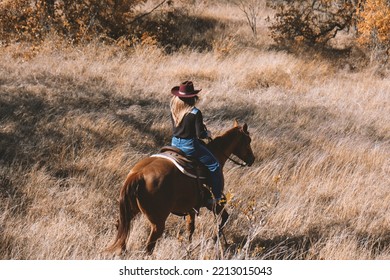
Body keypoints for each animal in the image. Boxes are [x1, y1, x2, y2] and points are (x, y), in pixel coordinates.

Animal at [106, 119, 256, 255]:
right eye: (248, 140)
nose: (252, 159)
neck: (216, 153)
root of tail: (138, 174)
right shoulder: (214, 203)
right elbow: (224, 219)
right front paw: (214, 239)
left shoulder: (191, 208)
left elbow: (190, 228)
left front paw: (189, 249)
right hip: (157, 223)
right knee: (149, 247)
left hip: (131, 211)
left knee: (122, 229)